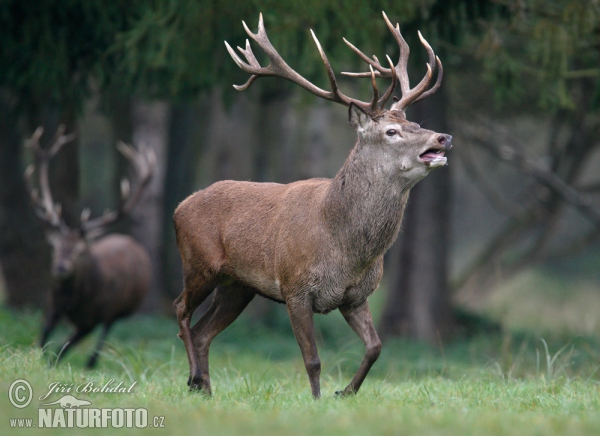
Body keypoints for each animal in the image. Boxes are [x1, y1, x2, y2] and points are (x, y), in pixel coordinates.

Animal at [27, 126, 155, 368]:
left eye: (80, 251)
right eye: (55, 247)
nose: (60, 268)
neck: (74, 302)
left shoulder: (95, 317)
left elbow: (64, 347)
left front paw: (51, 363)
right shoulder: (52, 305)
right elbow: (43, 338)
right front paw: (38, 359)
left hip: (114, 312)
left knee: (97, 346)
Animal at [172, 11, 450, 396]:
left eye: (416, 122)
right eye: (391, 132)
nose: (443, 136)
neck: (344, 248)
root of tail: (178, 208)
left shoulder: (355, 296)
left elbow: (375, 347)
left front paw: (345, 391)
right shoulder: (296, 288)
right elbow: (313, 360)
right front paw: (318, 400)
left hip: (238, 287)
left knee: (202, 332)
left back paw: (204, 388)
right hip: (199, 263)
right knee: (180, 309)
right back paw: (195, 377)